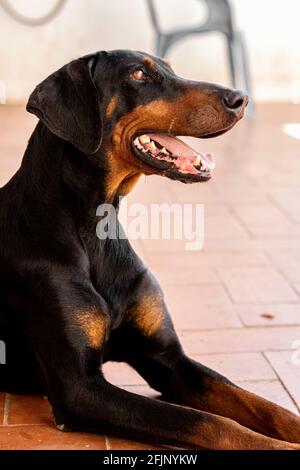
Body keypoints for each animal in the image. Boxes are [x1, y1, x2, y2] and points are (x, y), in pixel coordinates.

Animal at [0, 49, 300, 450]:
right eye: (139, 74)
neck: (95, 231)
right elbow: (210, 423)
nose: (240, 99)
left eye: (171, 69)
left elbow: (269, 408)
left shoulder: (167, 359)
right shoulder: (80, 388)